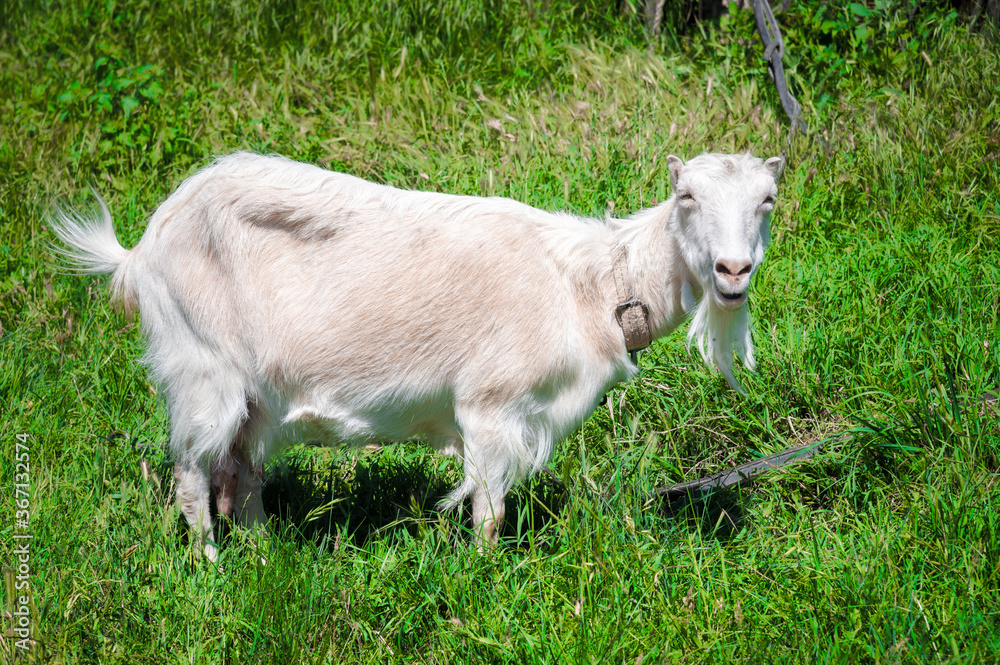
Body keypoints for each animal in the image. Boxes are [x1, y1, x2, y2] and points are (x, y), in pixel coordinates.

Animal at [51, 151, 783, 559]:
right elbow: (488, 508)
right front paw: (488, 575)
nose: (733, 270)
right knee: (192, 475)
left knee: (241, 470)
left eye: (767, 201)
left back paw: (263, 555)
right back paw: (211, 565)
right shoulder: (490, 406)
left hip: (256, 394)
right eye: (687, 197)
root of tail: (138, 252)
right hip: (202, 367)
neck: (589, 285)